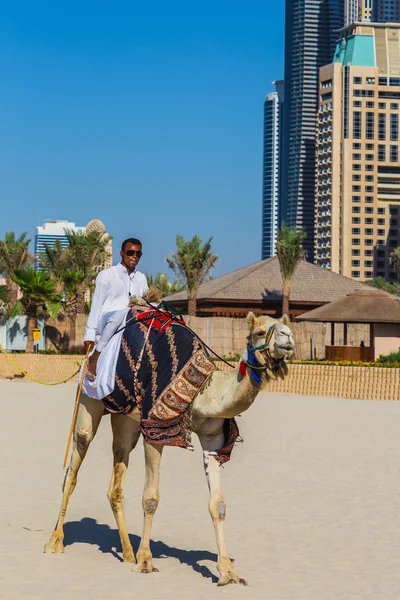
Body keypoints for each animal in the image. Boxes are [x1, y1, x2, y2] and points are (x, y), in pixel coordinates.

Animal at [44, 312, 294, 588]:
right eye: (259, 332)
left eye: (288, 327)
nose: (288, 338)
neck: (201, 391)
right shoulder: (155, 431)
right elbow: (151, 498)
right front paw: (145, 561)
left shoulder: (213, 438)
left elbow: (218, 505)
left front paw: (228, 572)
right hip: (89, 402)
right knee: (73, 468)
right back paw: (55, 542)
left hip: (125, 419)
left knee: (117, 475)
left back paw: (127, 553)